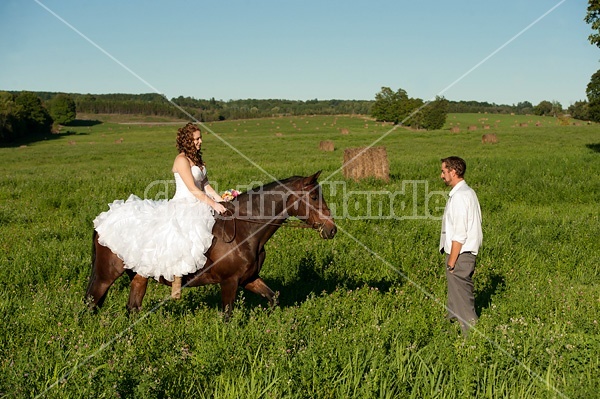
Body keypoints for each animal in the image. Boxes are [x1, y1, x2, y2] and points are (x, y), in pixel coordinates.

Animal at [85, 170, 338, 318]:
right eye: (314, 197)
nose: (332, 229)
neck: (245, 230)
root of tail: (102, 222)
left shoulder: (249, 279)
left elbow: (273, 298)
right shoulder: (229, 282)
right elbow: (227, 316)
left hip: (138, 276)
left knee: (132, 308)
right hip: (106, 275)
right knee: (90, 304)